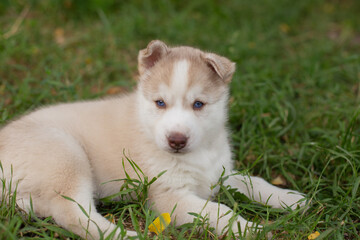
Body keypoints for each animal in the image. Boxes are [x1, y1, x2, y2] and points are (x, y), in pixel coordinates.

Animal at [0, 41, 306, 238]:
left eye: (198, 104)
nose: (176, 140)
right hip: (67, 158)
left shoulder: (219, 174)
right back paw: (127, 235)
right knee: (72, 214)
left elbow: (253, 181)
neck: (199, 153)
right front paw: (251, 229)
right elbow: (219, 211)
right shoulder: (167, 197)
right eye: (160, 103)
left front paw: (290, 199)